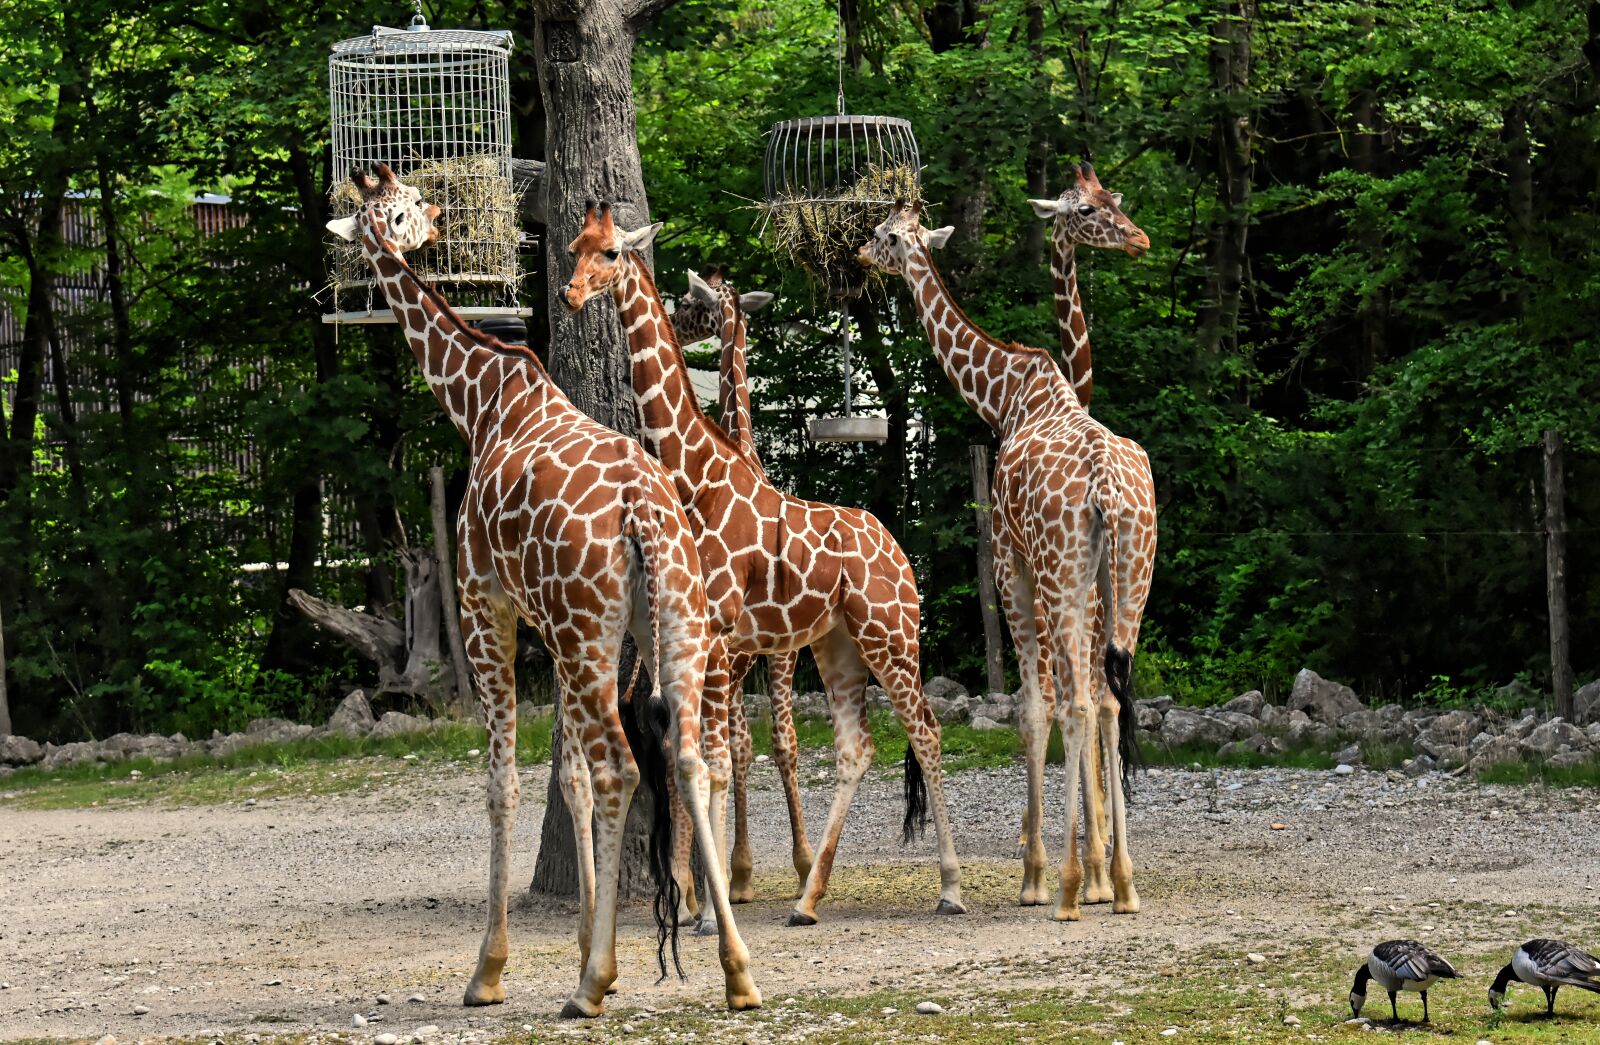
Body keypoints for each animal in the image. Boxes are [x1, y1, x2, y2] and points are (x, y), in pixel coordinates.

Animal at [324, 165, 759, 1016]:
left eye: (397, 207)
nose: (435, 218)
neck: (480, 399)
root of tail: (644, 512)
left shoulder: (487, 605)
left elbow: (505, 781)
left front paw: (494, 970)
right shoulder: (554, 627)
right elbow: (572, 777)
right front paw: (592, 944)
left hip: (595, 631)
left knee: (627, 765)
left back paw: (590, 988)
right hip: (667, 624)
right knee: (690, 758)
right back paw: (737, 971)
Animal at [562, 203, 964, 928]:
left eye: (609, 253)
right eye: (575, 246)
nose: (570, 294)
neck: (695, 478)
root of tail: (899, 549)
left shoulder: (723, 641)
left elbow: (722, 761)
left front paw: (711, 903)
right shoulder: (704, 643)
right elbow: (703, 758)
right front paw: (703, 898)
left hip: (891, 636)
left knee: (925, 730)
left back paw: (948, 887)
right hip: (836, 645)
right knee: (856, 747)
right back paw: (807, 899)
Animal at [858, 199, 1155, 920]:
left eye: (885, 235)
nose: (859, 253)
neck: (1005, 397)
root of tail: (1107, 485)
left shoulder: (1011, 566)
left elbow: (1034, 708)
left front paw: (1036, 872)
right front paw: (1086, 866)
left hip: (1061, 577)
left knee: (1077, 704)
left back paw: (1074, 883)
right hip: (1126, 578)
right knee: (1109, 700)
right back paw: (1120, 882)